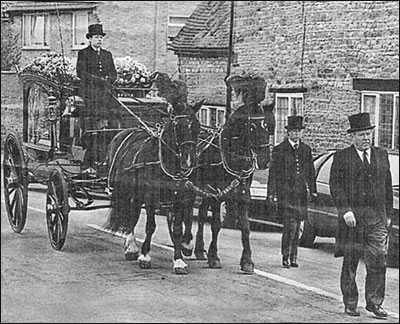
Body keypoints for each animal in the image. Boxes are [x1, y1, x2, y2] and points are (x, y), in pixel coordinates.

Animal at [105, 73, 202, 274]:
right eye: (178, 126)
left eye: (197, 127)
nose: (188, 161)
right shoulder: (150, 197)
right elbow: (150, 226)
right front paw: (145, 256)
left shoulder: (178, 198)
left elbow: (177, 229)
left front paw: (179, 260)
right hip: (127, 190)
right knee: (129, 214)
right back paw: (131, 247)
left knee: (132, 213)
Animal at [188, 75, 276, 274]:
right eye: (252, 126)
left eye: (269, 126)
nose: (265, 161)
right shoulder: (218, 192)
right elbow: (216, 225)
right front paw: (214, 257)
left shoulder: (243, 193)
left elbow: (245, 226)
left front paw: (247, 261)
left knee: (202, 214)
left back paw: (199, 250)